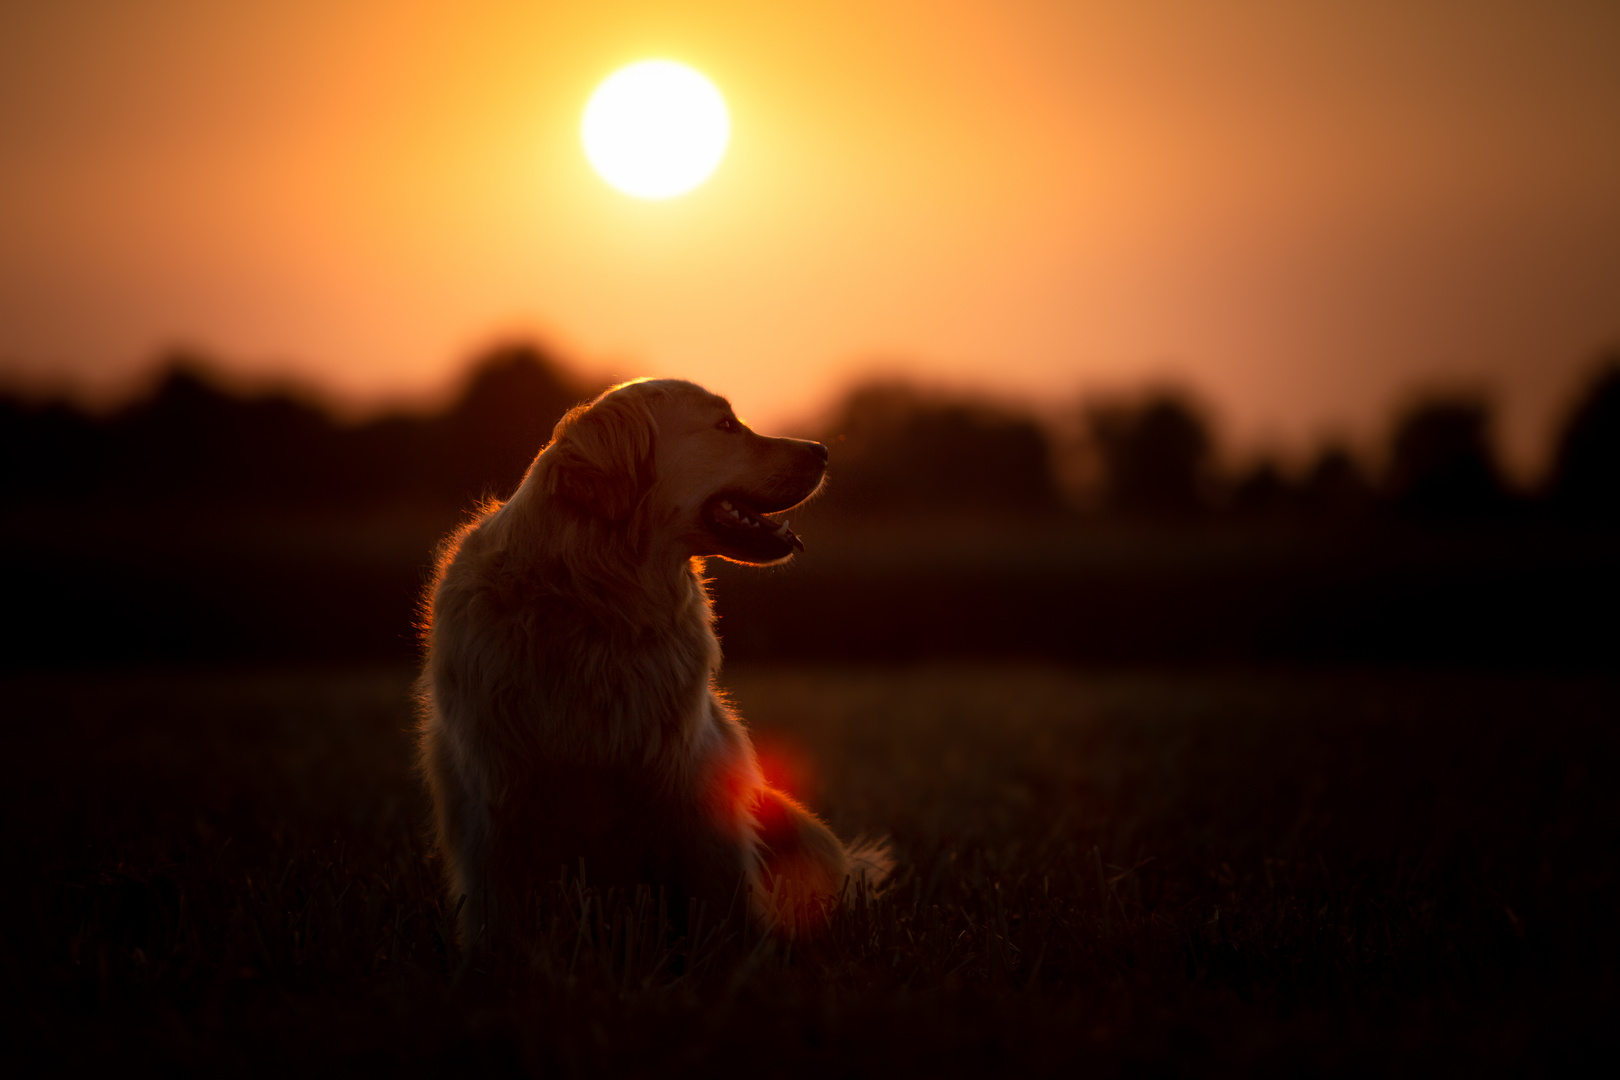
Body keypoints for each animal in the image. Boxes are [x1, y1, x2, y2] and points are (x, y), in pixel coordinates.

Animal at [414, 378, 887, 945]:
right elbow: (501, 916)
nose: (822, 450)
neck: (596, 601)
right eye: (724, 425)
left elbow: (719, 900)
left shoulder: (693, 786)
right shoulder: (497, 801)